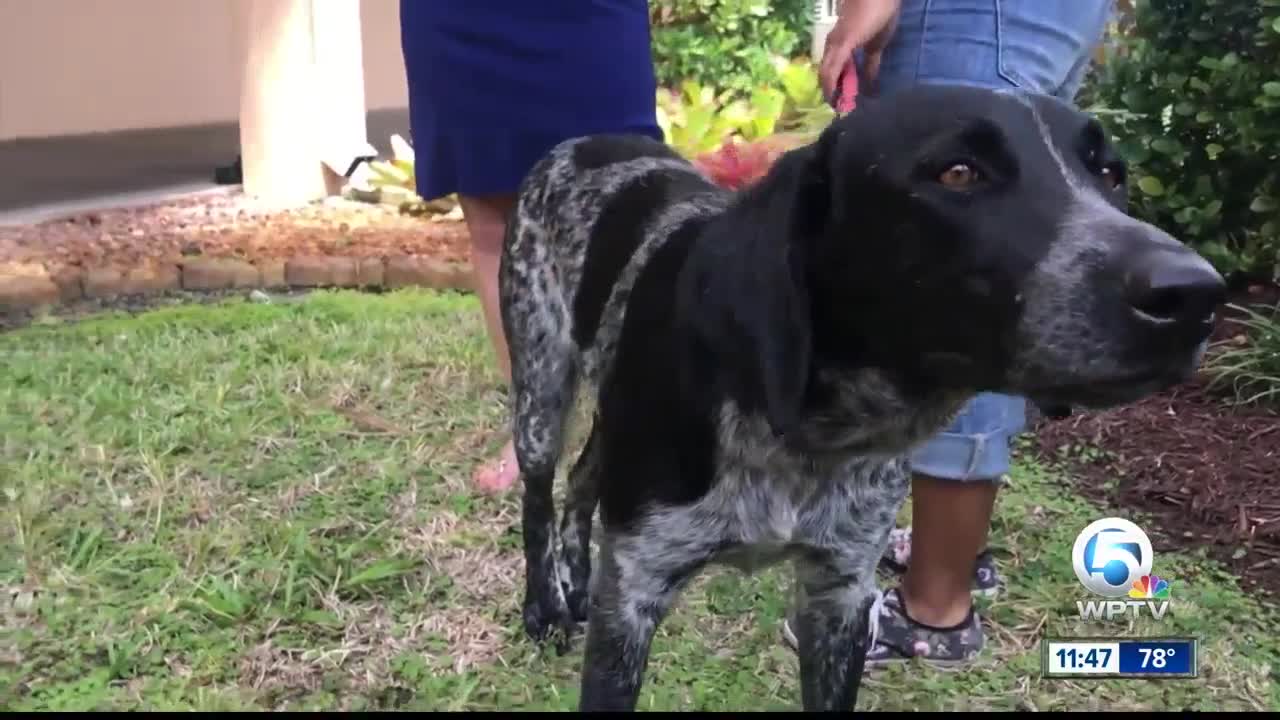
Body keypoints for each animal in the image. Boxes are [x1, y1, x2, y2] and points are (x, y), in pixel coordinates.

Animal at [494, 81, 1223, 707]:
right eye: (958, 173)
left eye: (1111, 174)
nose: (1195, 295)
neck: (805, 428)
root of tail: (583, 142)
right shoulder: (634, 600)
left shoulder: (839, 597)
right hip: (541, 387)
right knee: (540, 492)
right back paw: (544, 603)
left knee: (583, 476)